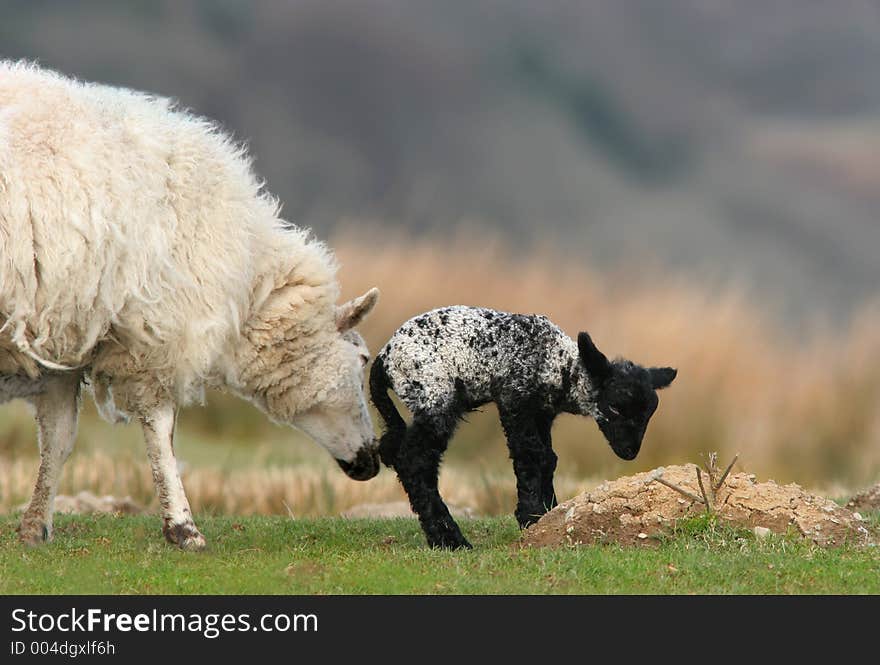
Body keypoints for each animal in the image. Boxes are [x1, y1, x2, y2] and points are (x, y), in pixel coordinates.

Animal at [0, 61, 378, 548]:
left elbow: (59, 437)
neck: (245, 283)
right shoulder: (155, 333)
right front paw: (183, 528)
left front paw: (35, 526)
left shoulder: (63, 332)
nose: (373, 460)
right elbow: (161, 431)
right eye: (363, 359)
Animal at [368, 304, 676, 548]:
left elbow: (549, 458)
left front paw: (549, 512)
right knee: (414, 460)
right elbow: (531, 455)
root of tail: (382, 360)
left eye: (649, 414)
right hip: (434, 393)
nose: (630, 451)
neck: (559, 365)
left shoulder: (542, 414)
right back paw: (450, 539)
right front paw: (531, 516)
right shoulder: (514, 401)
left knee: (395, 450)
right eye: (614, 407)